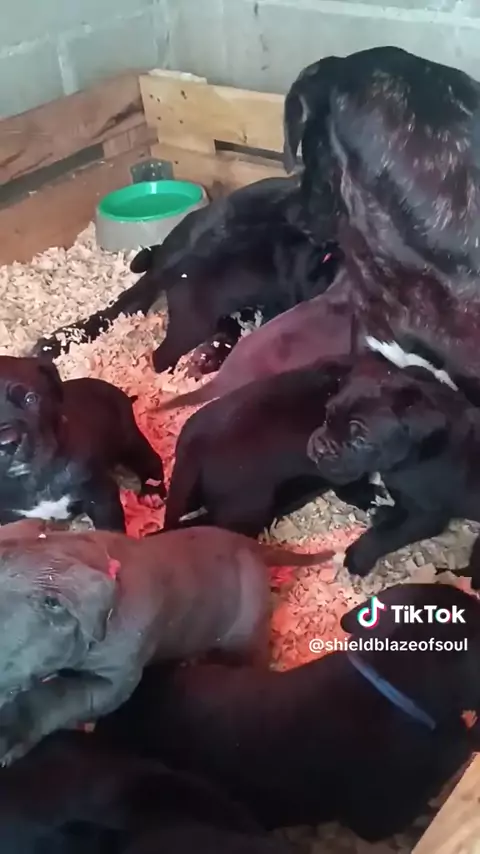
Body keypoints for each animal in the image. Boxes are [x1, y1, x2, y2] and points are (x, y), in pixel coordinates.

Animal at [0, 356, 165, 532]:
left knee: (150, 459)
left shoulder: (101, 496)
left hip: (127, 440)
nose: (7, 443)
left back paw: (152, 492)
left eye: (30, 399)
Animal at [306, 349, 480, 577]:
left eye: (360, 441)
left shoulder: (427, 515)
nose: (319, 449)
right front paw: (385, 513)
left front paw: (358, 556)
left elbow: (385, 535)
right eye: (328, 416)